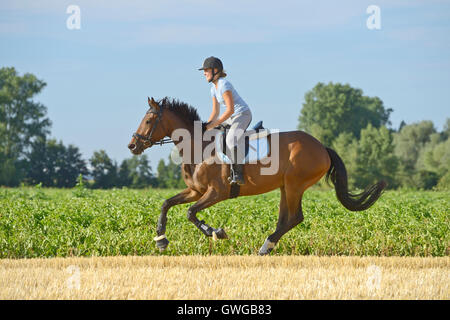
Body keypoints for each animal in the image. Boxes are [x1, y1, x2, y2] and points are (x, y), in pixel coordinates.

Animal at [127, 96, 386, 254]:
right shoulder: (195, 191)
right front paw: (161, 240)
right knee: (286, 218)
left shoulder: (217, 192)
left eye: (148, 120)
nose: (132, 145)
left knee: (295, 217)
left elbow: (190, 213)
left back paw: (265, 245)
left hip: (294, 185)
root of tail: (322, 147)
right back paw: (268, 246)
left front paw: (216, 232)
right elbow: (166, 203)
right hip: (285, 187)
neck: (199, 147)